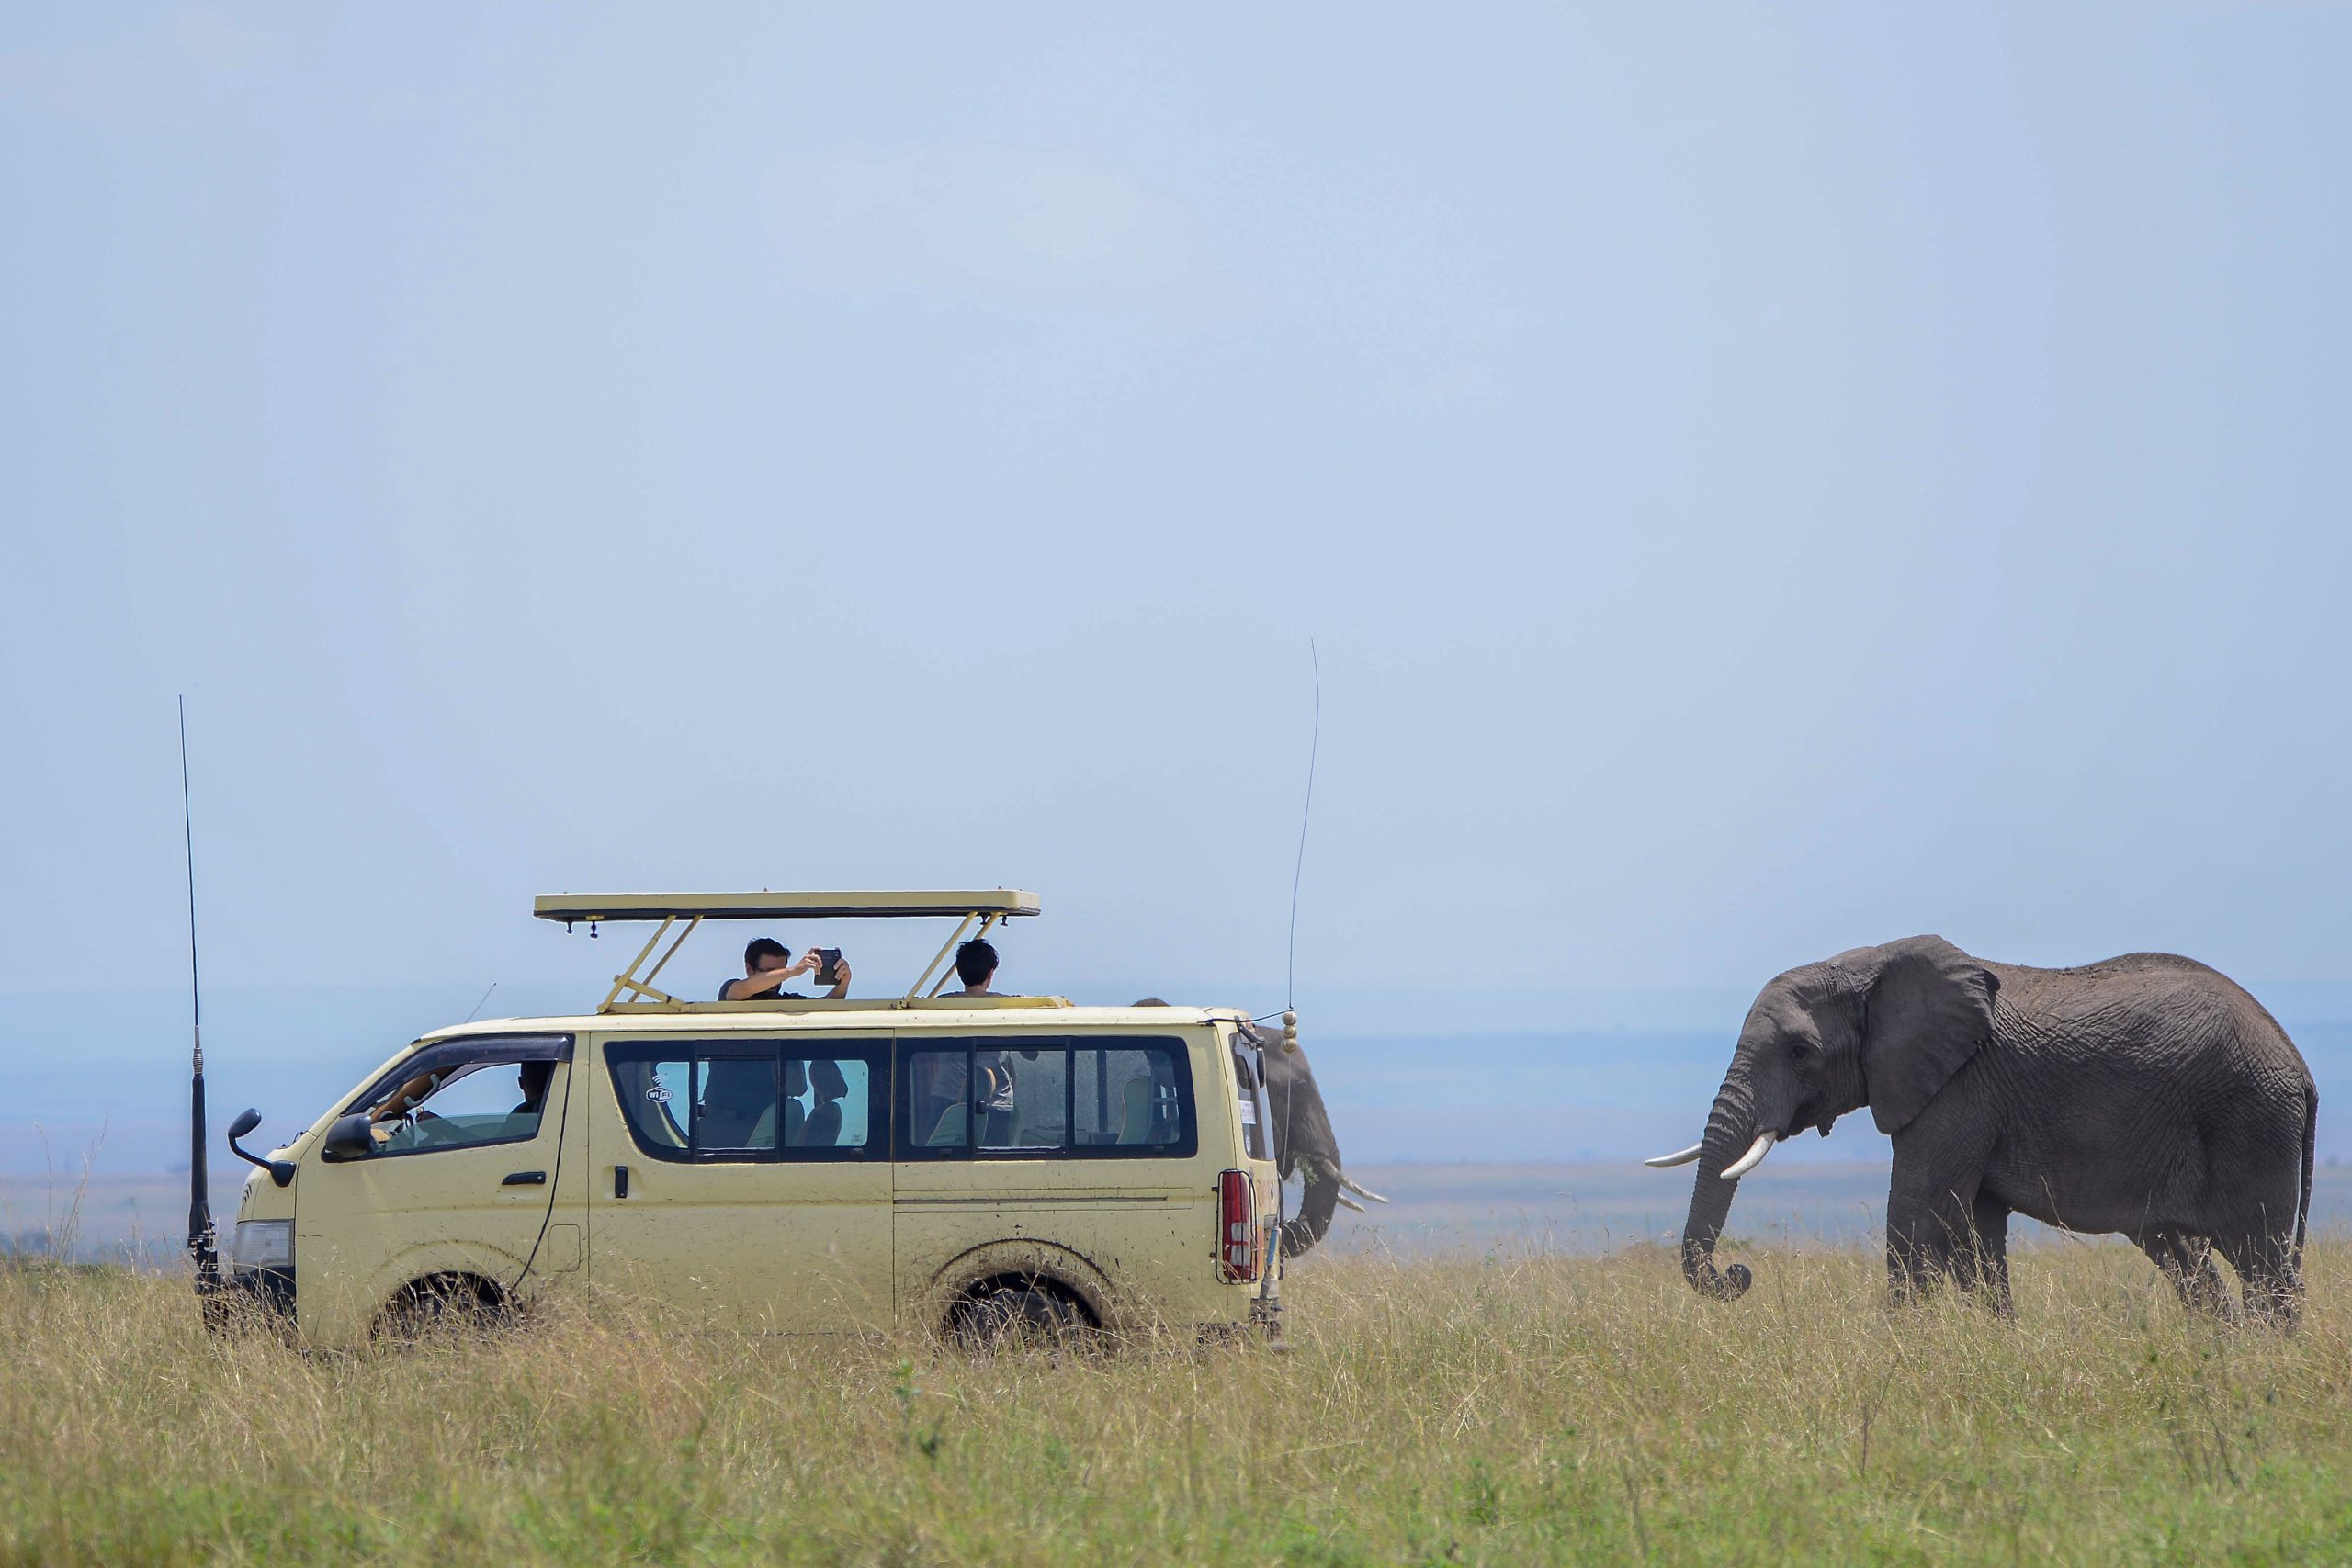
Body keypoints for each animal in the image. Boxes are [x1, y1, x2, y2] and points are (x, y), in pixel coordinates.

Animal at [1647, 937, 2317, 1321]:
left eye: (1799, 1052)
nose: (1738, 1273)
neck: (1865, 966)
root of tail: (2301, 1066)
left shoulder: (1959, 1087)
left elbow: (1919, 1214)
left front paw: (1903, 1350)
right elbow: (1975, 1234)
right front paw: (1997, 1344)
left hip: (2251, 1119)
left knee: (2261, 1262)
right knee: (2187, 1260)